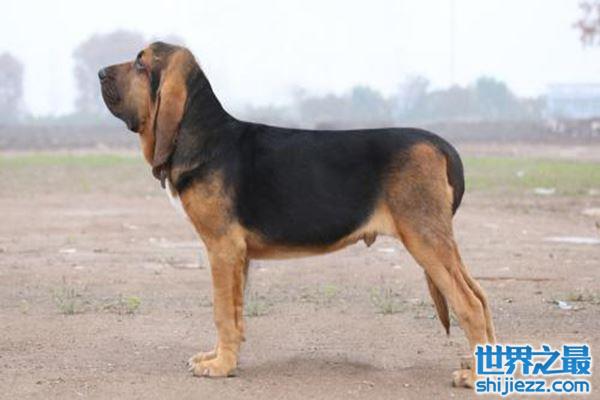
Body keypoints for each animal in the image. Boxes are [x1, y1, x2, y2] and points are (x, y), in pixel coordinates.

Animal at [99, 41, 495, 388]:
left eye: (141, 63)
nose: (100, 72)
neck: (205, 133)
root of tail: (440, 145)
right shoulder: (238, 256)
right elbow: (235, 314)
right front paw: (220, 357)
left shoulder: (222, 248)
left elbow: (222, 312)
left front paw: (220, 367)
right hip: (440, 244)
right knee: (481, 295)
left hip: (424, 240)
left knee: (470, 304)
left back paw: (474, 377)